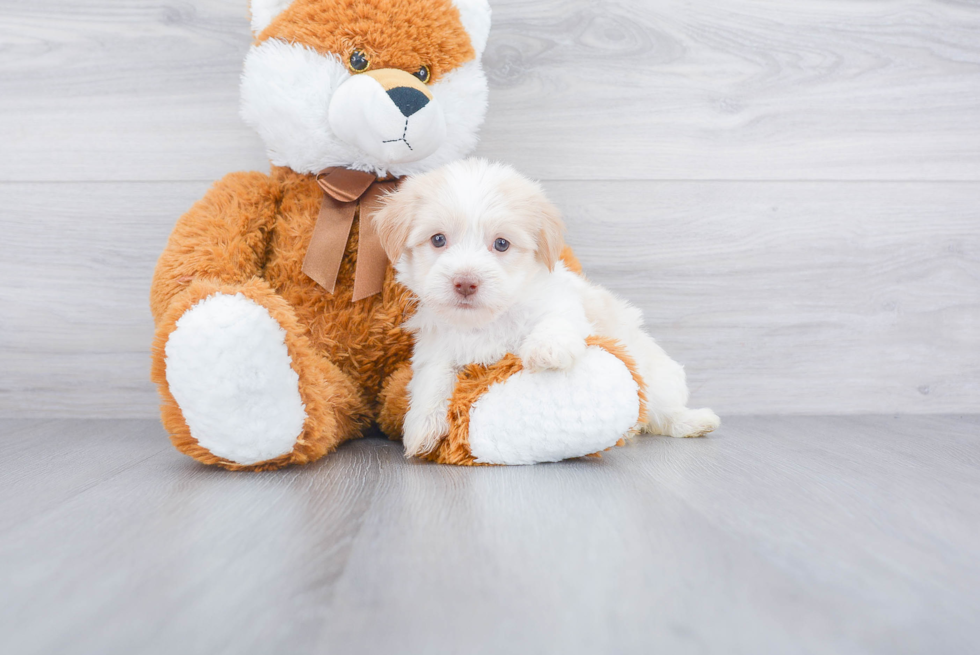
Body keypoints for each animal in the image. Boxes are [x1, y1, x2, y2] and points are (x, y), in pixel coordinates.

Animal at [372, 159, 716, 458]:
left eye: (501, 244)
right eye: (438, 239)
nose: (465, 282)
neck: (486, 322)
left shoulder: (563, 304)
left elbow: (556, 320)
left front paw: (546, 350)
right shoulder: (437, 347)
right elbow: (433, 378)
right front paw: (421, 427)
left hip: (658, 378)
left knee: (663, 412)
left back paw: (694, 421)